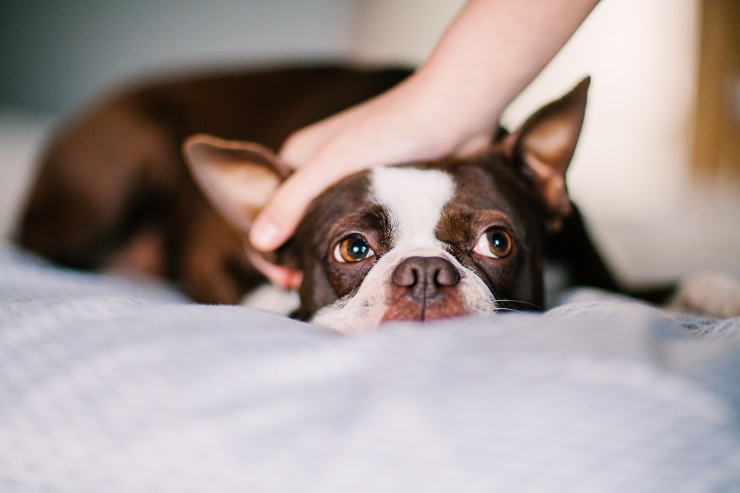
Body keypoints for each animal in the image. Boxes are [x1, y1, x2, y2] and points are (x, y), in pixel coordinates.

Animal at [20, 62, 724, 330]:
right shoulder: (211, 256)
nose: (424, 273)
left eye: (496, 241)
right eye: (353, 249)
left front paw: (714, 291)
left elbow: (656, 286)